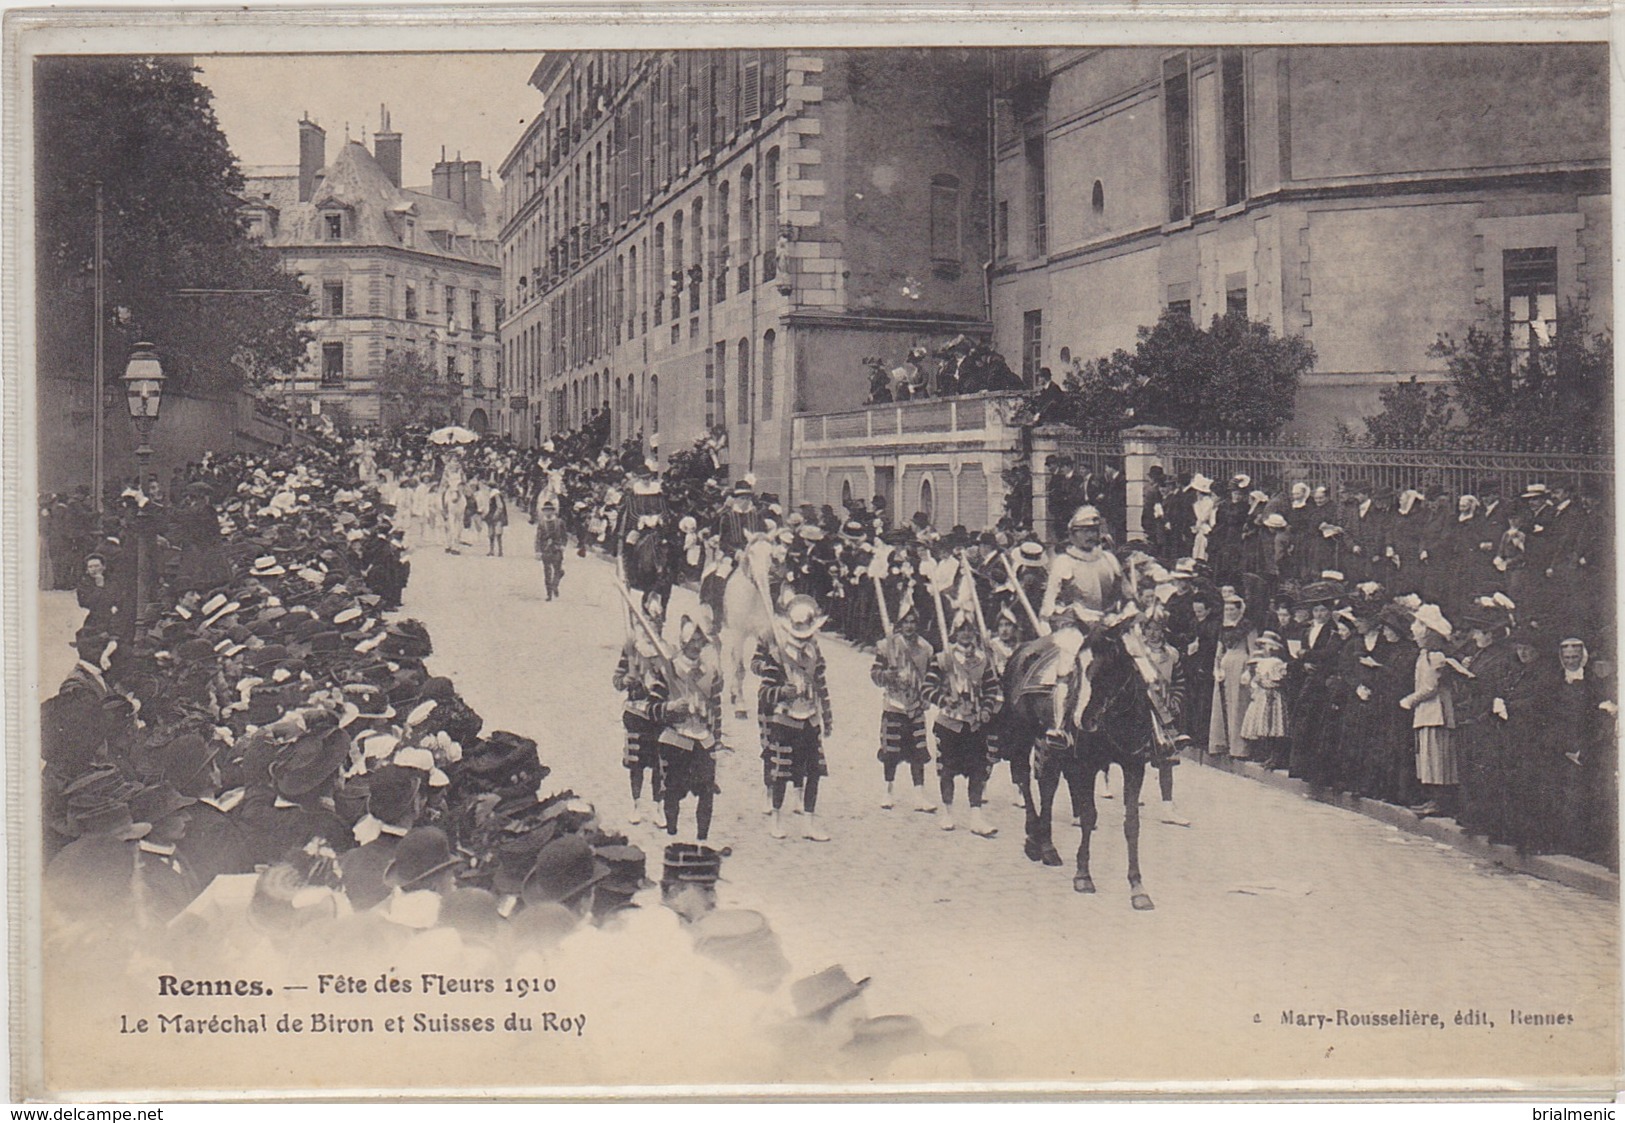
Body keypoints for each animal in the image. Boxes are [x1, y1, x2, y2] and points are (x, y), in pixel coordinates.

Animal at [994, 627, 1163, 910]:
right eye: (1077, 668)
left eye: (1108, 667)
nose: (1083, 719)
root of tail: (1024, 648)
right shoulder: (1086, 766)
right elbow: (1088, 816)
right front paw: (1083, 876)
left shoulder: (1134, 765)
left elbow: (1131, 824)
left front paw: (1137, 887)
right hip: (1023, 734)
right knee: (1024, 778)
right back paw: (1034, 839)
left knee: (1048, 786)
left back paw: (1047, 846)